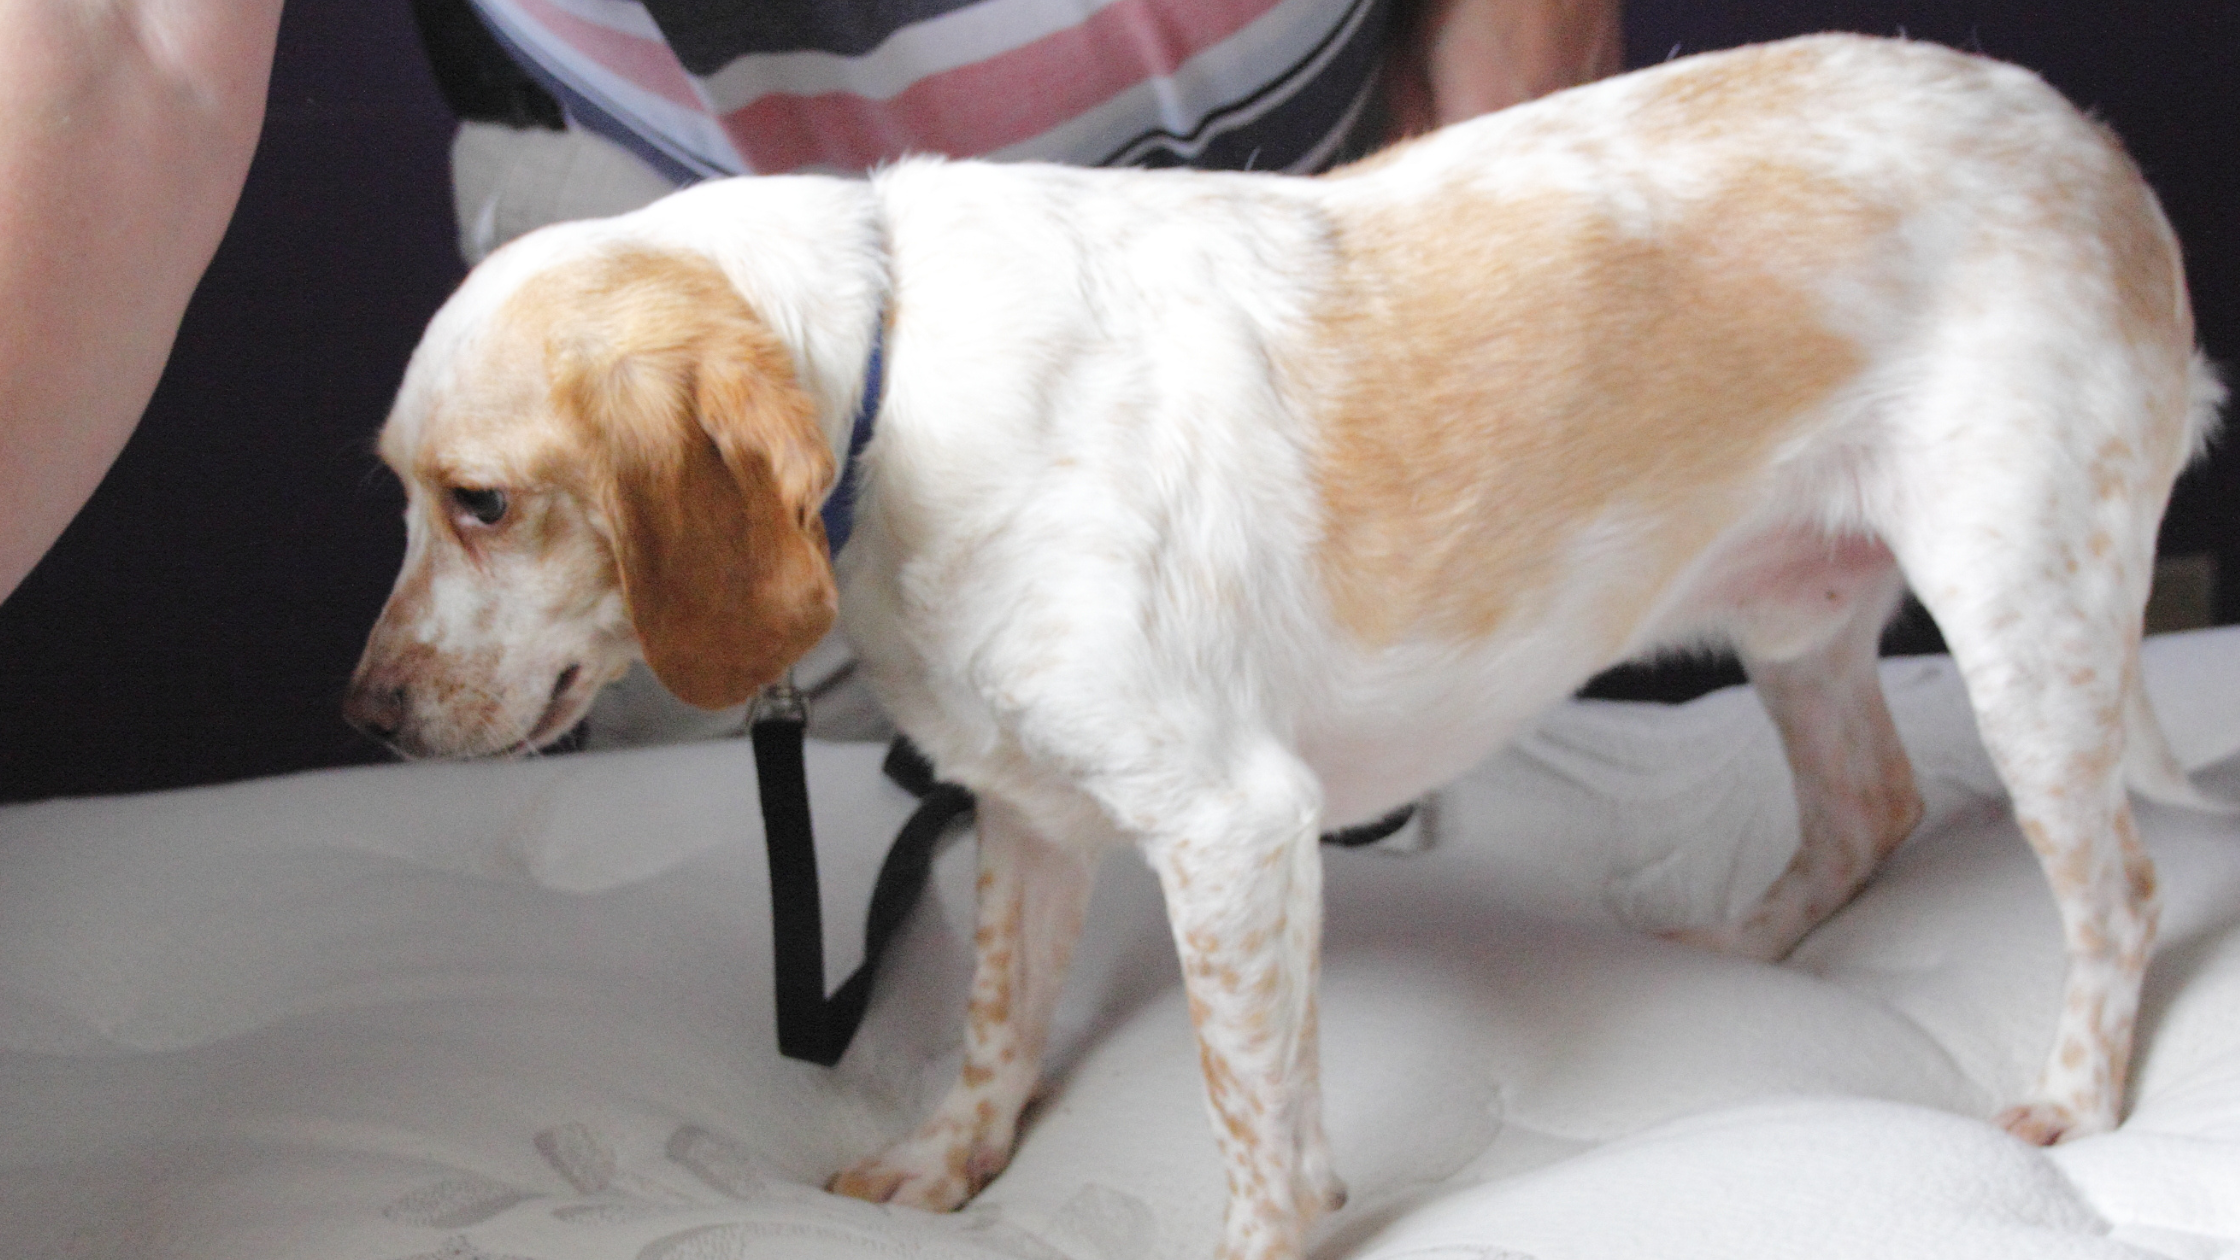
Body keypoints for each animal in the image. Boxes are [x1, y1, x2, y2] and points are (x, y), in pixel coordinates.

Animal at [344, 36, 2222, 1255]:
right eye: (410, 495)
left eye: (481, 503)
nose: (359, 715)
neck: (892, 372)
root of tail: (2097, 146)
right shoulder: (1030, 820)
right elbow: (993, 1037)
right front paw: (943, 1174)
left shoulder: (1233, 833)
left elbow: (1253, 1130)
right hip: (1800, 626)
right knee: (1869, 810)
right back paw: (1737, 956)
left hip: (2025, 622)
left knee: (2118, 890)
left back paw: (2070, 1100)